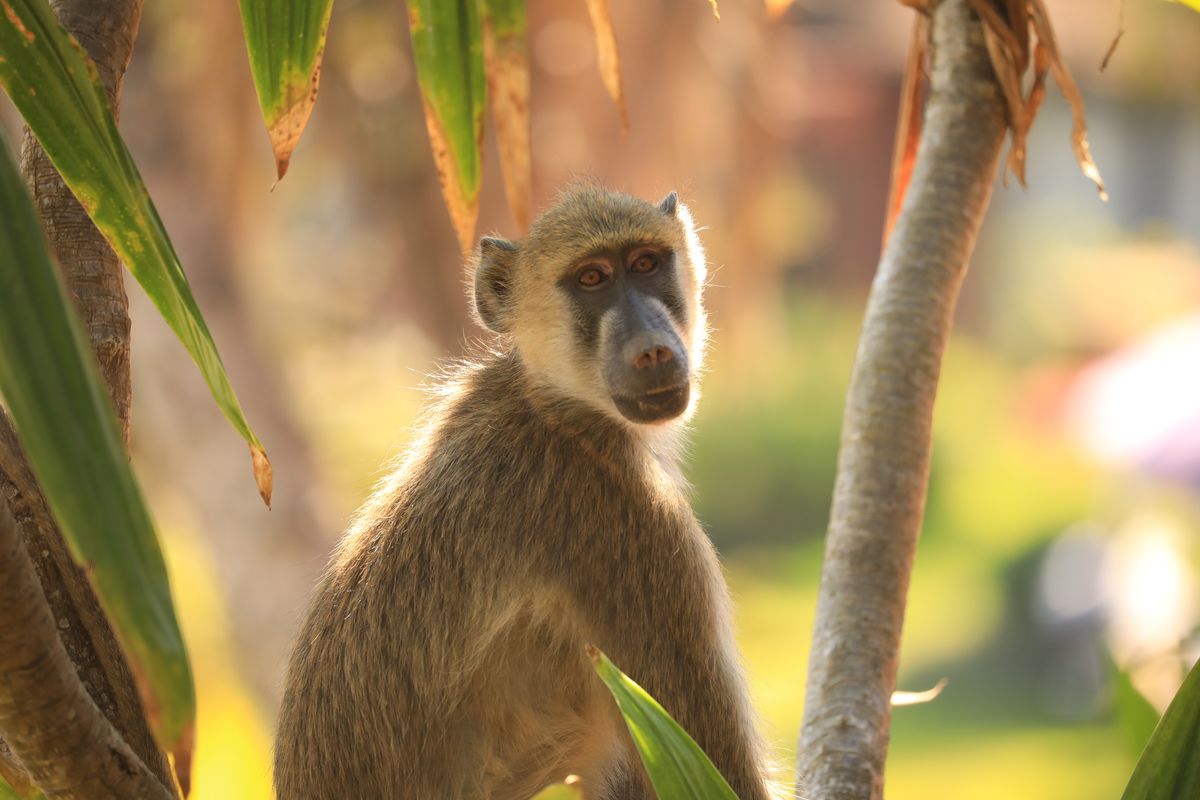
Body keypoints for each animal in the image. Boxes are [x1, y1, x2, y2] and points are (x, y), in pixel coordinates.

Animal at [274, 184, 771, 800]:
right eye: (591, 279)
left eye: (645, 264)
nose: (653, 349)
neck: (556, 409)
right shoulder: (627, 527)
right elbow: (716, 775)